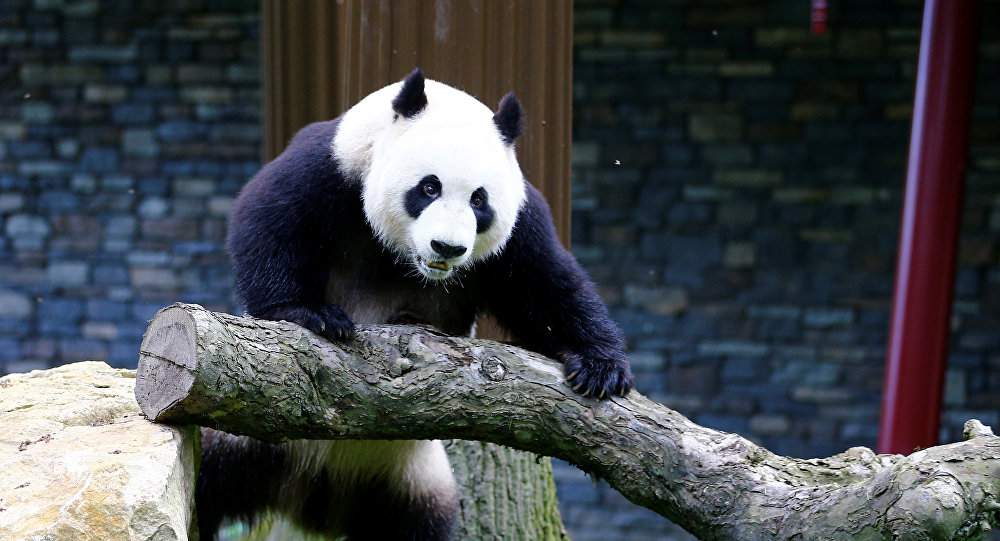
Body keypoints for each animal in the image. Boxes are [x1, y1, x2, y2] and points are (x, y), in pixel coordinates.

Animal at [200, 68, 636, 540]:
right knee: (207, 476)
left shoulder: (520, 223)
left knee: (417, 525)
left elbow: (547, 288)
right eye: (429, 187)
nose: (447, 247)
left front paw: (599, 367)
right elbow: (269, 221)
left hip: (410, 479)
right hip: (242, 438)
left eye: (479, 200)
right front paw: (310, 315)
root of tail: (316, 493)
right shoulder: (334, 166)